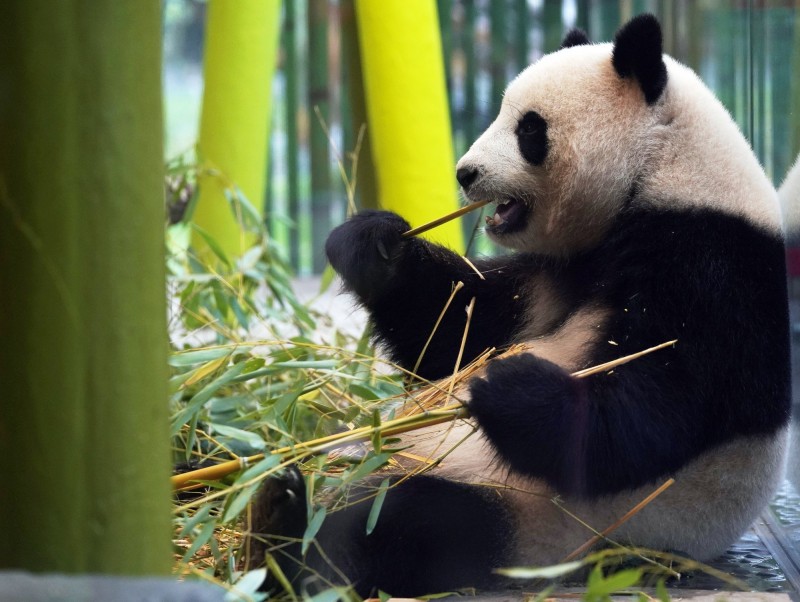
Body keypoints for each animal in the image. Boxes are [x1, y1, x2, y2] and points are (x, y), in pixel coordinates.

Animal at [247, 14, 792, 596]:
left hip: (537, 522)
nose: (465, 173)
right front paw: (373, 246)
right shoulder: (556, 273)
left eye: (529, 129)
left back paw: (288, 531)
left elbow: (652, 412)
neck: (661, 169)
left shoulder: (712, 269)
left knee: (405, 525)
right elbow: (458, 326)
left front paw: (510, 388)